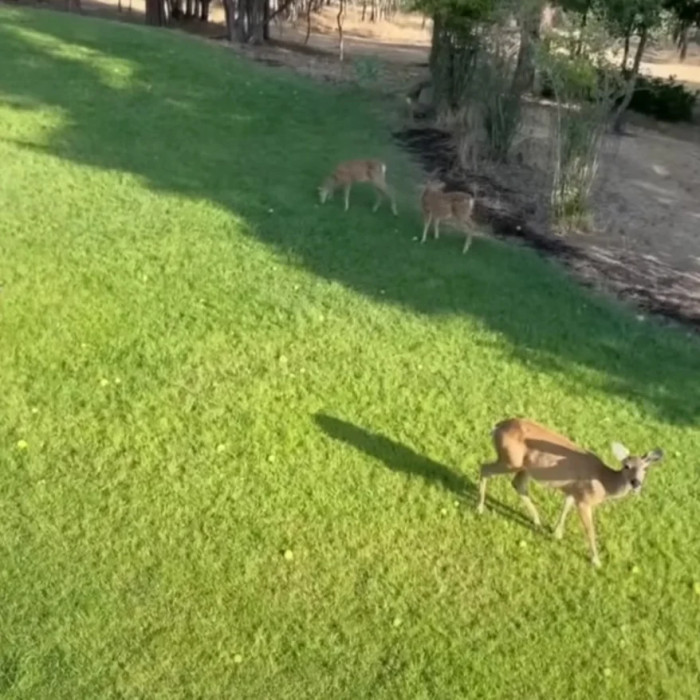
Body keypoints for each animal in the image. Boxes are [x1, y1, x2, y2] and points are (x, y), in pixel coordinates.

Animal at [478, 418, 664, 568]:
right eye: (626, 466)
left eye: (645, 469)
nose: (636, 483)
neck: (603, 483)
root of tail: (497, 427)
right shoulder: (584, 500)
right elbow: (590, 530)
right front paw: (596, 561)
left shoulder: (573, 490)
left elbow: (565, 508)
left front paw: (557, 533)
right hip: (510, 460)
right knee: (485, 468)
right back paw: (480, 508)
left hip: (525, 467)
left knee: (518, 484)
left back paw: (537, 520)